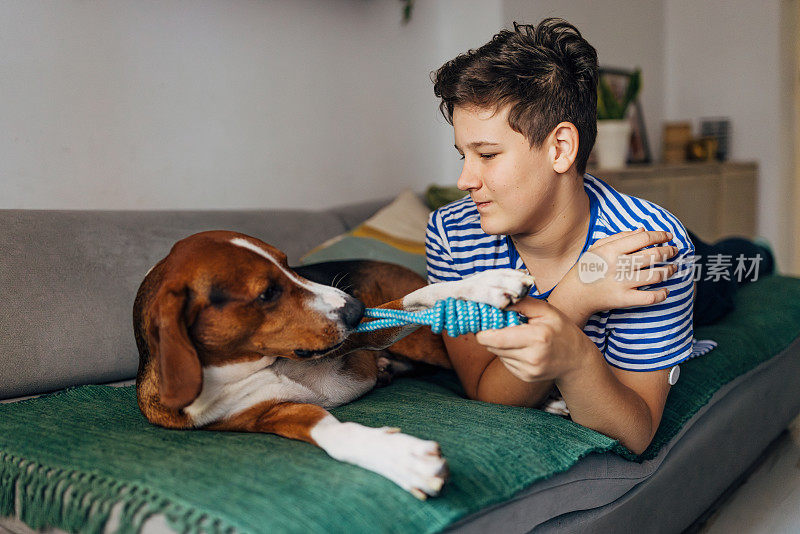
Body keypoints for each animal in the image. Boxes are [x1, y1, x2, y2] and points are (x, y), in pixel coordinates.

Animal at [134, 231, 536, 502]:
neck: (261, 363)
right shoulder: (271, 414)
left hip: (421, 344)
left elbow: (414, 300)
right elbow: (333, 434)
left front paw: (483, 283)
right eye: (267, 293)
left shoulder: (361, 335)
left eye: (289, 264)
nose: (356, 308)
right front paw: (399, 458)